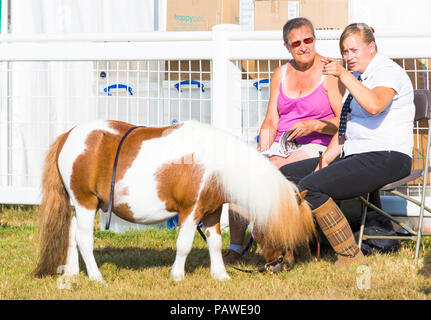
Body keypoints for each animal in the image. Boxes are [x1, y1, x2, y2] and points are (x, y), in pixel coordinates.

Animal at [33, 120, 316, 282]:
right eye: (283, 231)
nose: (286, 265)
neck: (215, 163)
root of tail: (69, 135)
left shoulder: (212, 212)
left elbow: (215, 244)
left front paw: (220, 275)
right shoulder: (191, 211)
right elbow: (184, 245)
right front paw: (177, 275)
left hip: (84, 204)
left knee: (71, 232)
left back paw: (72, 272)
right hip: (86, 202)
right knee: (84, 239)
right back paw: (96, 276)